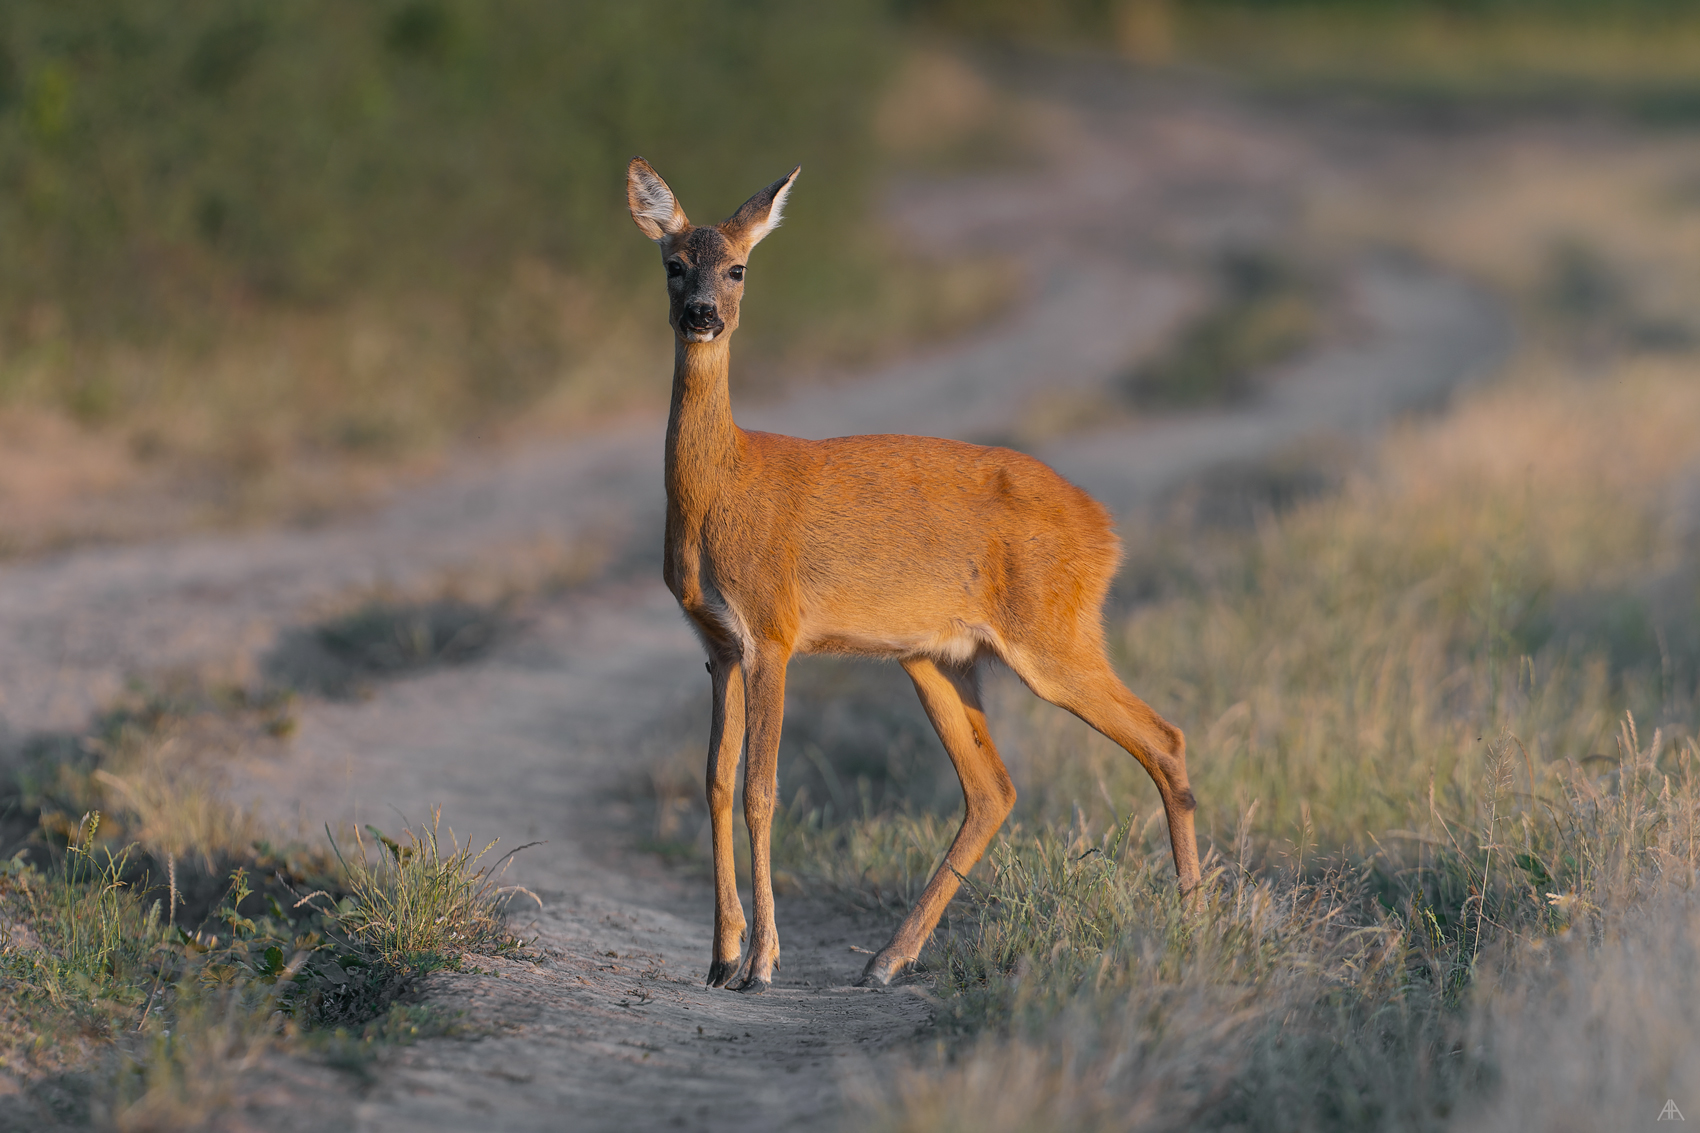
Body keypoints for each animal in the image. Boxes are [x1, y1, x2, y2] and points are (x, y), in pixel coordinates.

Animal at [627, 156, 1200, 993]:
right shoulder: (718, 644)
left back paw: (1196, 920)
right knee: (994, 787)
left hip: (1053, 633)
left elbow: (762, 789)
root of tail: (1106, 531)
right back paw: (887, 958)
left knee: (1164, 737)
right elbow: (715, 780)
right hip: (938, 656)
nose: (703, 314)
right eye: (673, 264)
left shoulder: (773, 630)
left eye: (738, 267)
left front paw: (762, 962)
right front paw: (721, 955)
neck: (723, 484)